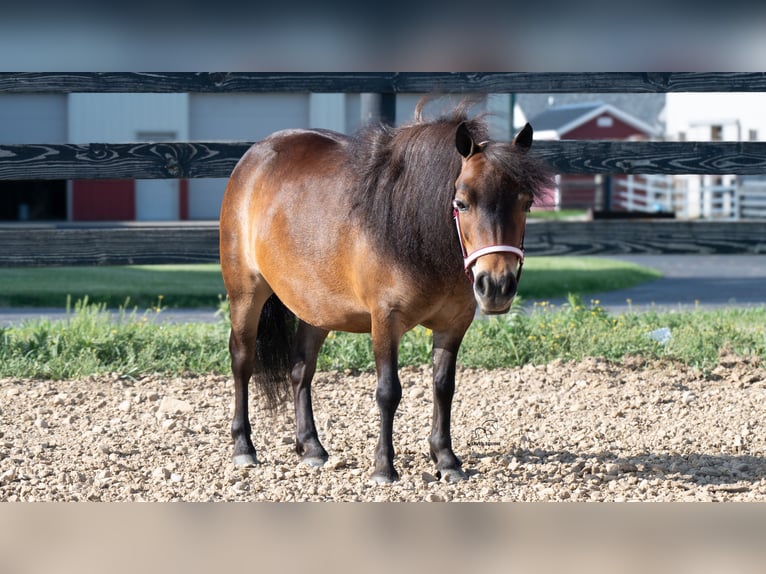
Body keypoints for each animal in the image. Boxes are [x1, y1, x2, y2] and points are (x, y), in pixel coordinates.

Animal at [219, 99, 552, 483]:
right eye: (461, 203)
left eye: (526, 203)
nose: (496, 285)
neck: (419, 236)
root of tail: (254, 156)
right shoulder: (385, 320)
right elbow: (388, 391)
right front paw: (384, 466)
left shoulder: (454, 323)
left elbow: (444, 386)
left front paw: (446, 459)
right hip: (245, 293)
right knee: (242, 361)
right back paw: (243, 446)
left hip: (316, 307)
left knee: (301, 368)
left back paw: (312, 447)